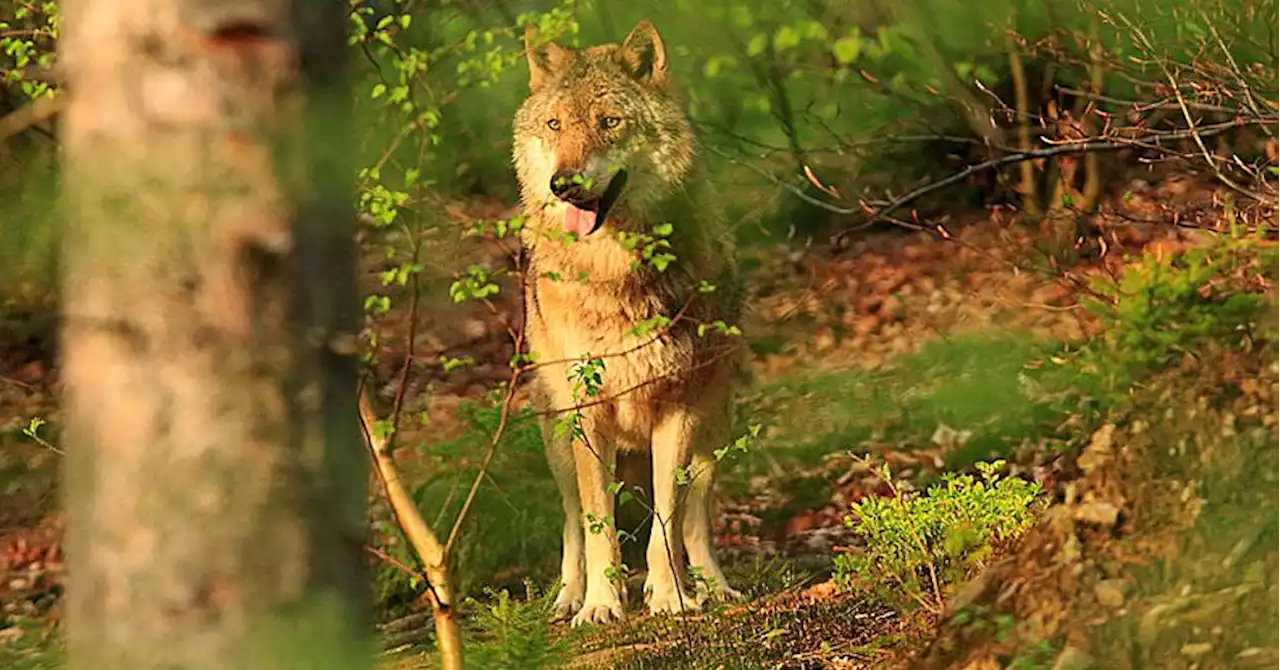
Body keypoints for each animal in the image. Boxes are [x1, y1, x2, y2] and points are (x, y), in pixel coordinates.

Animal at [512, 20, 747, 627]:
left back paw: (713, 588)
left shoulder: (678, 411)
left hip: (714, 430)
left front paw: (670, 598)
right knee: (573, 522)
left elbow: (668, 520)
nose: (564, 184)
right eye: (555, 125)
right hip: (559, 439)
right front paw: (600, 604)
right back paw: (569, 597)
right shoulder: (587, 415)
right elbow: (599, 527)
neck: (614, 273)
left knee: (696, 519)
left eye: (609, 122)